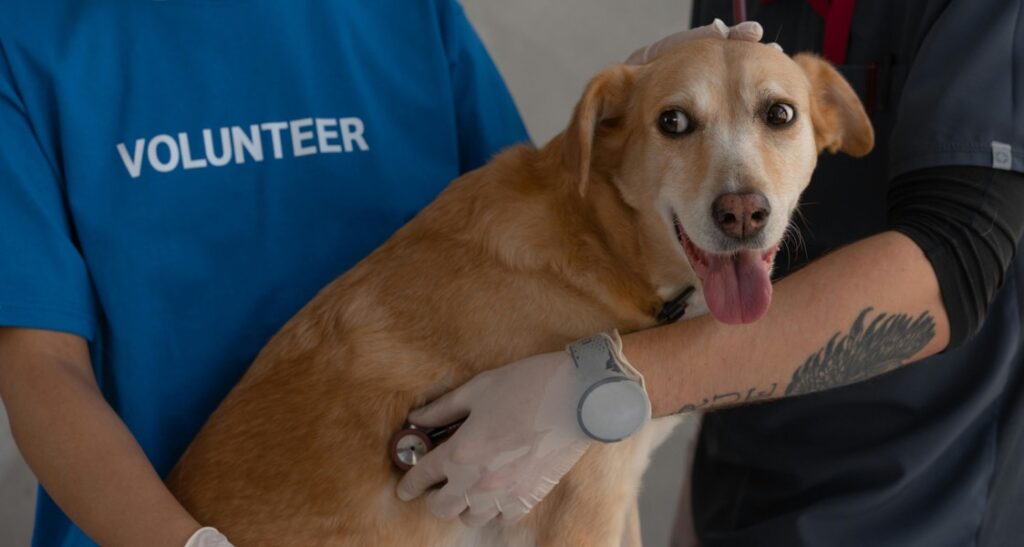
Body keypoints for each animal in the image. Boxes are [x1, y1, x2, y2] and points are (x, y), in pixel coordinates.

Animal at [167, 39, 872, 547]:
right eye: (672, 121)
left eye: (779, 114)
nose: (743, 213)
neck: (601, 241)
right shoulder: (585, 513)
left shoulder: (621, 499)